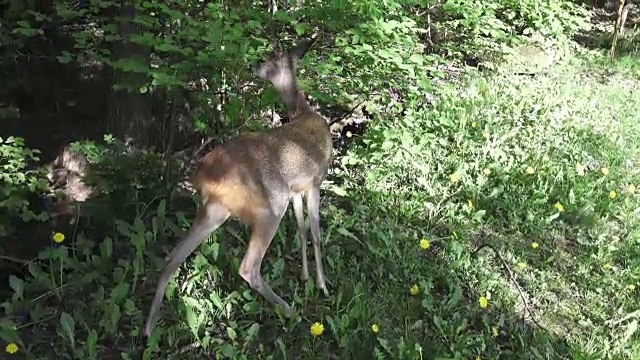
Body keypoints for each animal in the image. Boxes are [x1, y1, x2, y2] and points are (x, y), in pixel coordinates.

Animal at [144, 38, 332, 338]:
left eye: (269, 57)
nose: (254, 63)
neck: (303, 112)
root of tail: (204, 177)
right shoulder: (315, 181)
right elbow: (314, 232)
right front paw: (322, 285)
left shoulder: (297, 189)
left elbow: (302, 230)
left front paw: (305, 277)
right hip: (270, 206)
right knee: (248, 268)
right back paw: (290, 311)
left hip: (214, 210)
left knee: (171, 257)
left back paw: (148, 328)